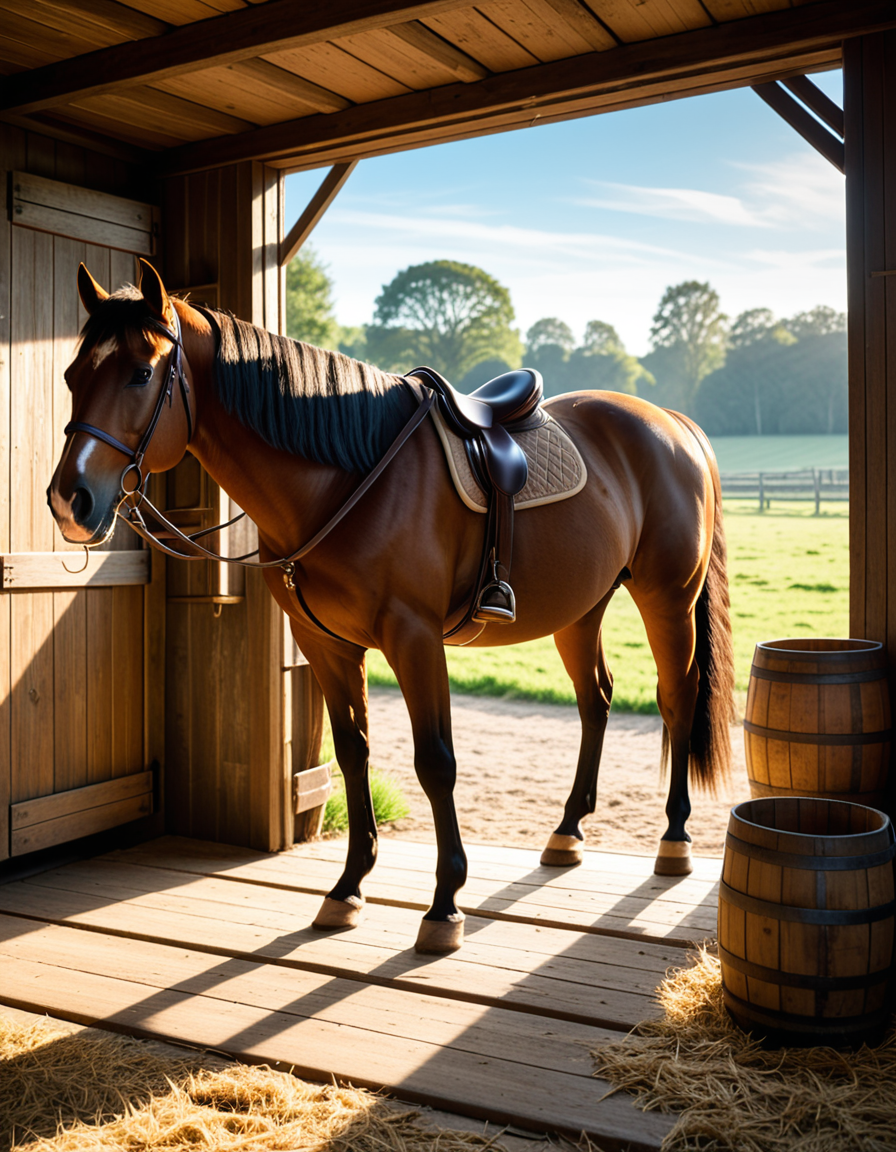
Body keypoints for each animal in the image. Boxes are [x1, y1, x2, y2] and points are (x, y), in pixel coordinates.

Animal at [48, 259, 735, 955]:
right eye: (73, 375)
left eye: (140, 373)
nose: (69, 502)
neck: (345, 477)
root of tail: (671, 423)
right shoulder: (325, 644)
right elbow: (353, 754)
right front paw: (348, 887)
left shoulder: (414, 639)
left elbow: (435, 762)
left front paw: (444, 904)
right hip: (580, 610)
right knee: (596, 700)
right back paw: (568, 830)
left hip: (667, 598)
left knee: (676, 699)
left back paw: (674, 839)